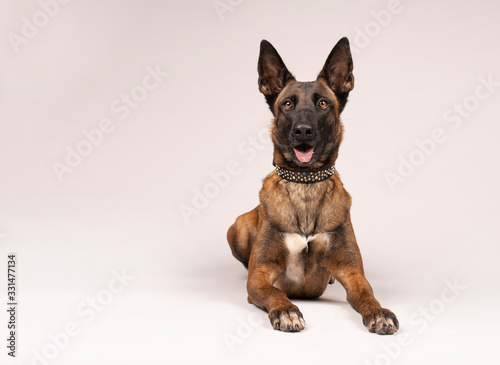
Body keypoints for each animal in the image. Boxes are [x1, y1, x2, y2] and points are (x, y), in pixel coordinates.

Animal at [228, 37, 398, 332]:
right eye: (287, 104)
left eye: (322, 103)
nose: (303, 131)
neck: (305, 185)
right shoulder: (260, 275)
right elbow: (274, 290)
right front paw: (287, 311)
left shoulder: (352, 272)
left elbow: (367, 293)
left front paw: (379, 312)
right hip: (237, 226)